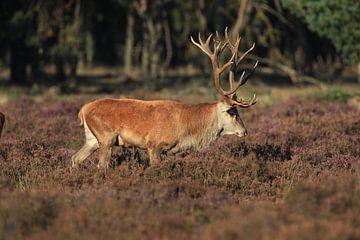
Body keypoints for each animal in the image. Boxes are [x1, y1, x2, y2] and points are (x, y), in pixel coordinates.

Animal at [71, 27, 256, 168]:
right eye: (232, 112)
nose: (245, 131)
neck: (186, 128)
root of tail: (83, 111)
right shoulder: (154, 144)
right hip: (106, 137)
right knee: (101, 165)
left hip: (92, 139)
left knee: (75, 158)